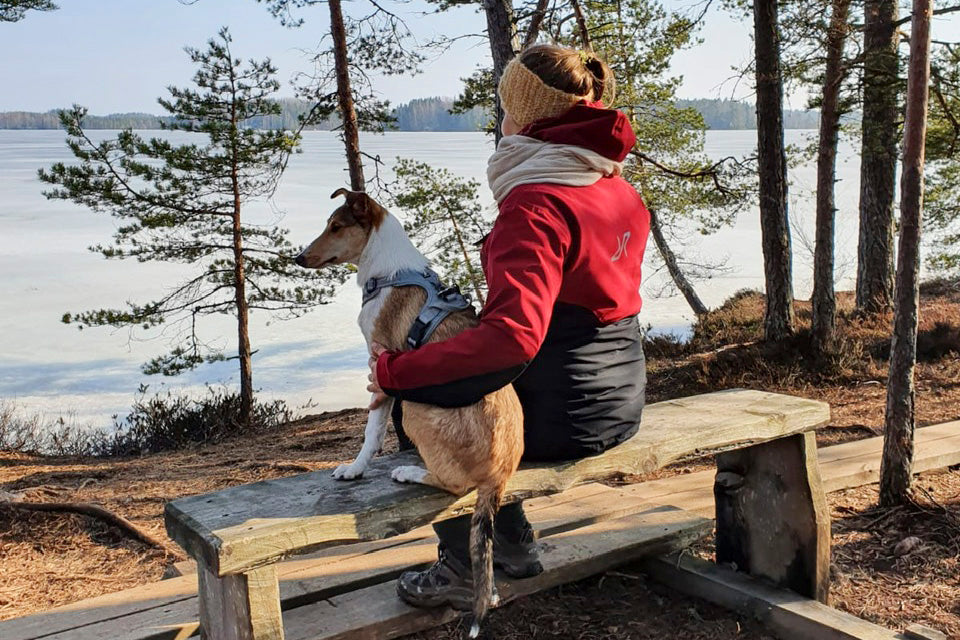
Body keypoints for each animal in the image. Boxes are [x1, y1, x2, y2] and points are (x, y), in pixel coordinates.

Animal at [294, 186, 524, 636]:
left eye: (336, 226)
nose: (298, 259)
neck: (388, 273)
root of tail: (501, 475)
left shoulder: (381, 368)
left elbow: (371, 431)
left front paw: (354, 469)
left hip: (417, 407)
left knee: (454, 485)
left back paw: (409, 471)